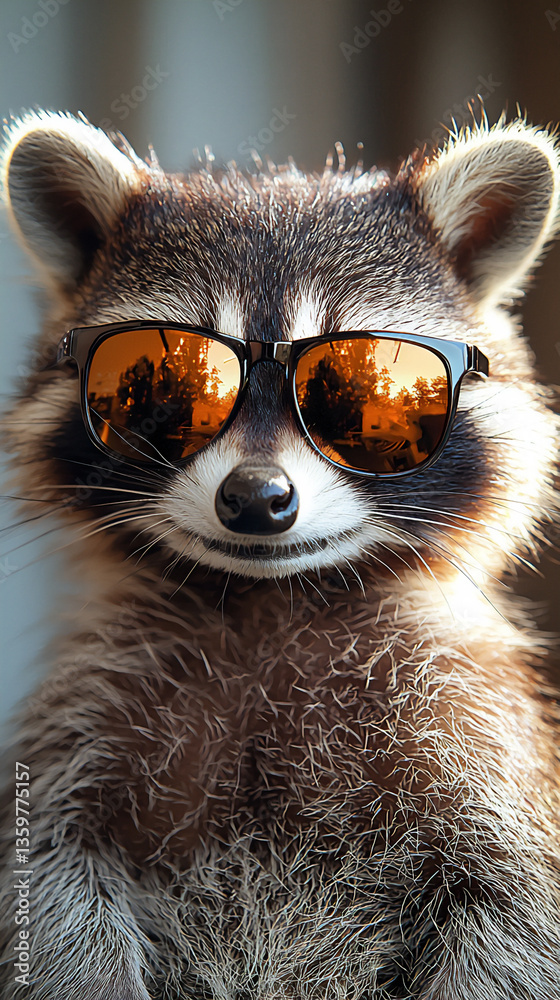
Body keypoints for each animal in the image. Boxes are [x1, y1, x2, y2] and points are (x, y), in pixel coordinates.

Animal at [0, 108, 559, 1000]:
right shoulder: (86, 729)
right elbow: (57, 891)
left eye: (358, 386)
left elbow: (511, 918)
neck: (269, 599)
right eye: (169, 389)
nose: (257, 499)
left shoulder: (473, 742)